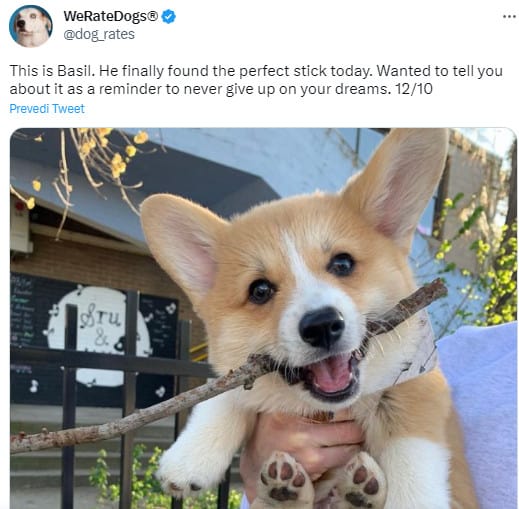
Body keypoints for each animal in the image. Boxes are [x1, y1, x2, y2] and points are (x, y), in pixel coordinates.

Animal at [141, 130, 480, 508]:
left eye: (343, 263)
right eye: (260, 290)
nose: (322, 326)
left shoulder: (419, 388)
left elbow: (412, 458)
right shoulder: (244, 375)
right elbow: (230, 390)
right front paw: (191, 456)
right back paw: (290, 489)